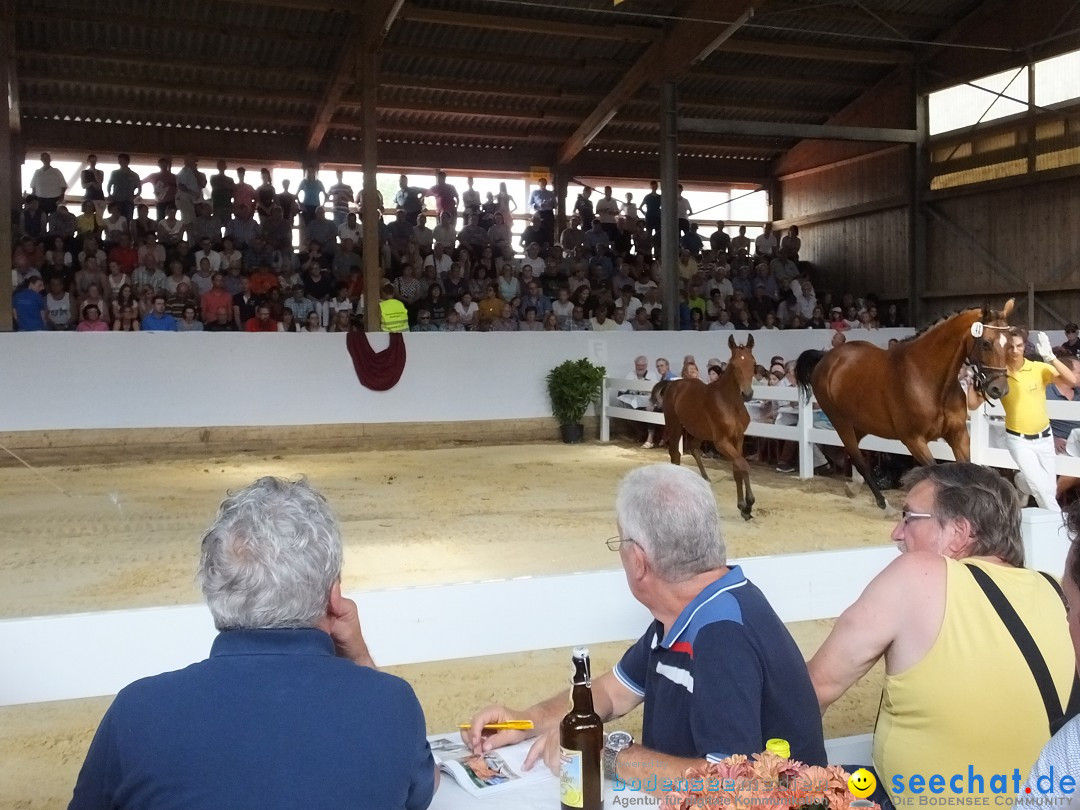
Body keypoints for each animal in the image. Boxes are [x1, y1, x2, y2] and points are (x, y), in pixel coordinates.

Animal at [648, 334, 760, 520]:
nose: (748, 394)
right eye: (734, 364)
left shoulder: (738, 438)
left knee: (693, 448)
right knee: (675, 454)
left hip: (699, 430)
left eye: (753, 363)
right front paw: (749, 505)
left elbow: (737, 469)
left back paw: (705, 480)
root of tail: (672, 384)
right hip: (675, 426)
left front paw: (742, 507)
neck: (729, 403)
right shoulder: (721, 442)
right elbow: (743, 465)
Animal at [794, 302, 1010, 509]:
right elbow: (935, 473)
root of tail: (826, 358)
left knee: (854, 454)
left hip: (863, 423)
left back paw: (853, 487)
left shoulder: (958, 435)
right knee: (859, 458)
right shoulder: (914, 440)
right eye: (986, 343)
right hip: (841, 422)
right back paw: (884, 504)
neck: (928, 378)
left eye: (1008, 344)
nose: (999, 389)